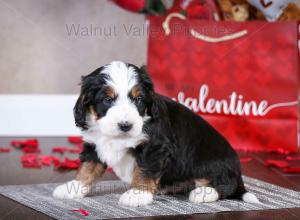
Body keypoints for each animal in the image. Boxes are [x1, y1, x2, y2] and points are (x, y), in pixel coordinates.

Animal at [52, 61, 258, 207]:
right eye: (107, 99)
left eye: (138, 99)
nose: (126, 125)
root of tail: (238, 171)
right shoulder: (95, 144)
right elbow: (88, 168)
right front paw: (74, 187)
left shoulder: (156, 146)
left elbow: (145, 170)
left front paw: (138, 194)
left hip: (214, 165)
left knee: (225, 186)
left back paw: (203, 193)